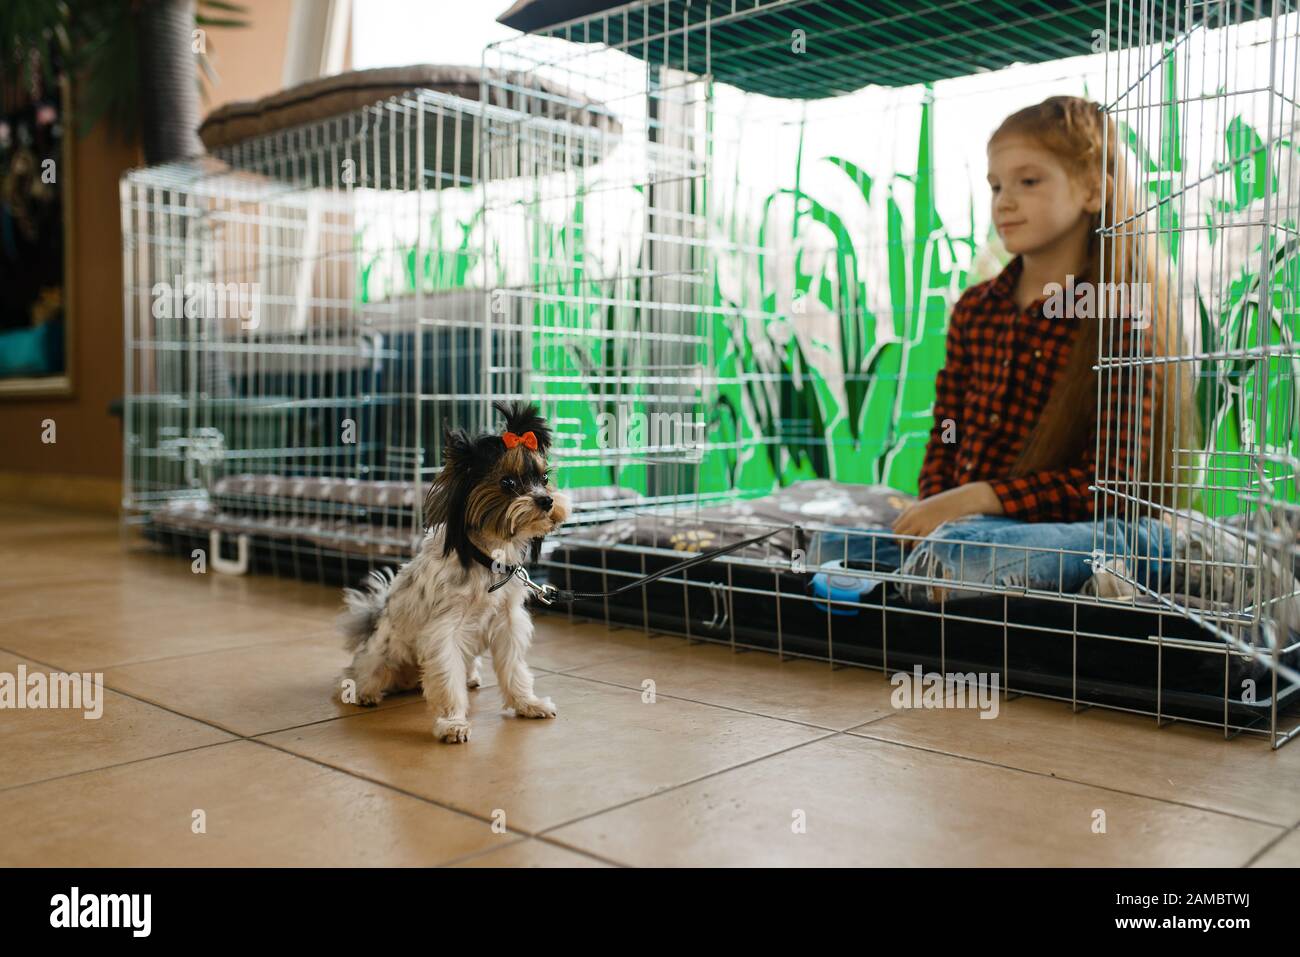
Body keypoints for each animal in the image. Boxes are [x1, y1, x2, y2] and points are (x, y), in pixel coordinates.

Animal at [340, 400, 569, 743]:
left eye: (543, 477)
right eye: (508, 483)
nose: (546, 500)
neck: (489, 559)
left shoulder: (508, 622)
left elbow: (514, 668)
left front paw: (527, 704)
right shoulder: (444, 631)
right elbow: (448, 680)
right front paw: (453, 723)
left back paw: (472, 677)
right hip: (383, 653)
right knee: (364, 671)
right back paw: (365, 691)